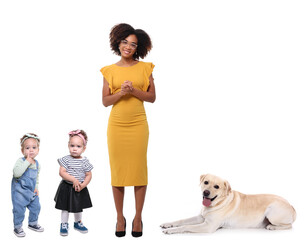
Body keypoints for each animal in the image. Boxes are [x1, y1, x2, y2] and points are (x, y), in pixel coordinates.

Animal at [162, 173, 296, 233]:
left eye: (216, 186)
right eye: (206, 182)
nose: (206, 192)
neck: (218, 202)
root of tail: (292, 206)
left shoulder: (208, 226)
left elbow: (187, 226)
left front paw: (171, 230)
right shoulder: (201, 217)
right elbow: (182, 221)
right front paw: (167, 224)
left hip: (272, 212)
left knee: (289, 226)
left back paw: (272, 227)